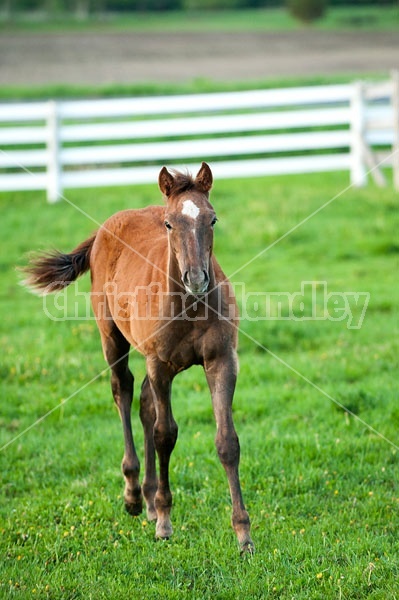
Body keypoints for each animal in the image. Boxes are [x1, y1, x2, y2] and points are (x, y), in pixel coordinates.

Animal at [23, 163, 253, 552]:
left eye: (212, 219)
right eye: (169, 223)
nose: (196, 278)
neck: (190, 305)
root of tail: (103, 229)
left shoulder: (222, 361)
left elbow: (227, 442)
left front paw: (243, 535)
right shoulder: (160, 365)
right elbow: (165, 434)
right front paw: (164, 521)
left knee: (144, 402)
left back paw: (146, 498)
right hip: (112, 337)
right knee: (123, 390)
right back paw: (133, 493)